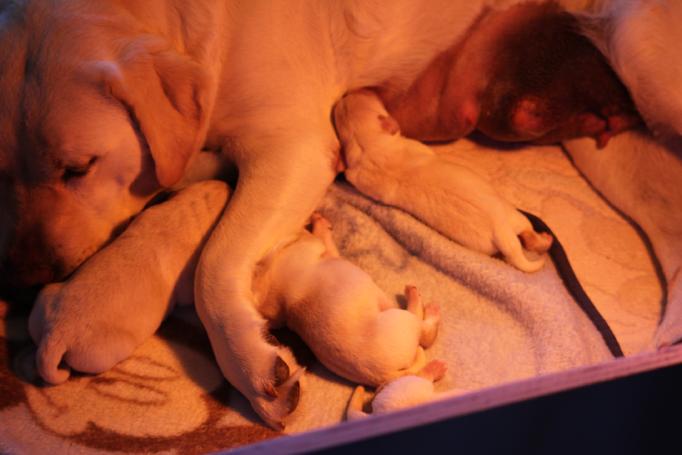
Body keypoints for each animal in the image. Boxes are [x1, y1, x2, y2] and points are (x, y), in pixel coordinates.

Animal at [334, 91, 552, 272]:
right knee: (528, 231)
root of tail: (502, 233)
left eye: (345, 103)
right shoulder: (416, 146)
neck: (367, 147)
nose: (356, 90)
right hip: (511, 214)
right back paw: (546, 239)